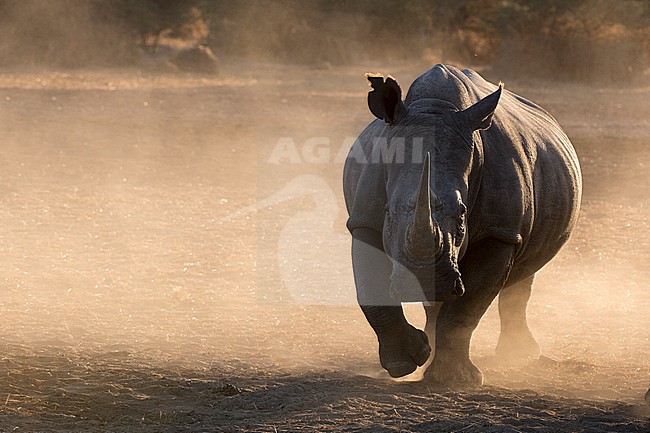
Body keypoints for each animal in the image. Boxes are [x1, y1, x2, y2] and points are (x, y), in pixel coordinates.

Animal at [343, 64, 581, 386]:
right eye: (388, 214)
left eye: (462, 217)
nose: (420, 279)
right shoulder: (364, 220)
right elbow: (371, 293)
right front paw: (404, 363)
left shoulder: (500, 233)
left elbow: (467, 308)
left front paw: (454, 379)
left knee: (523, 274)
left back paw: (518, 356)